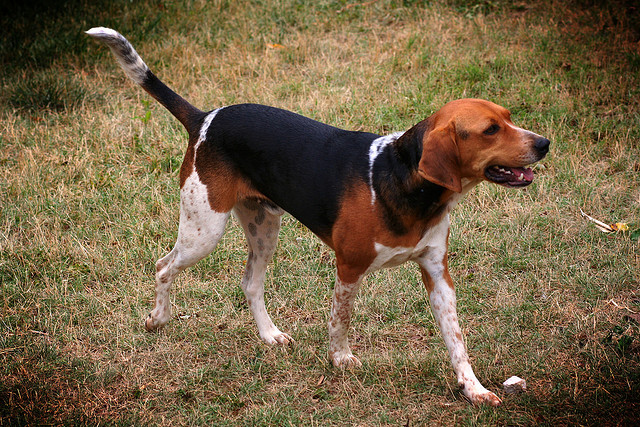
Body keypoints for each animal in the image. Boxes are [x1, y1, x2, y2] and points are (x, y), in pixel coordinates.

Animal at [87, 27, 549, 406]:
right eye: (490, 130)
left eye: (509, 118)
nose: (544, 143)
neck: (405, 181)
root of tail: (204, 119)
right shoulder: (349, 266)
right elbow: (340, 320)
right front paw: (340, 359)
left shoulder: (437, 273)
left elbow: (456, 340)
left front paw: (474, 389)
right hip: (204, 230)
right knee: (164, 266)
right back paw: (158, 319)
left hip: (263, 227)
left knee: (250, 282)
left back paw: (269, 335)